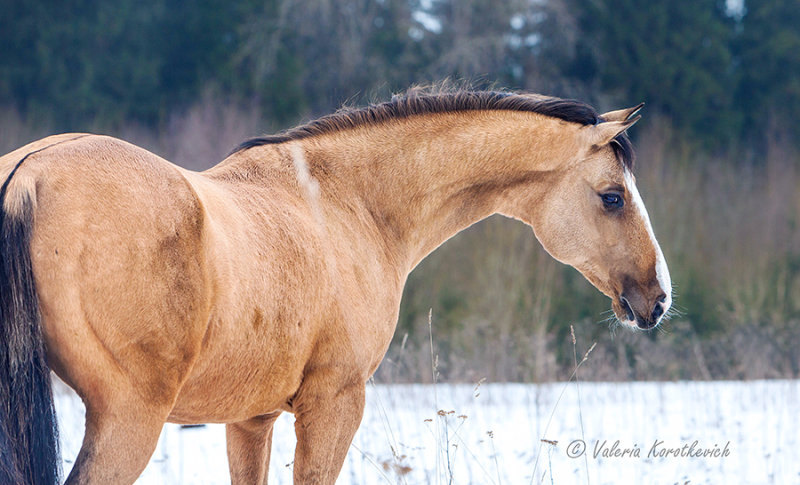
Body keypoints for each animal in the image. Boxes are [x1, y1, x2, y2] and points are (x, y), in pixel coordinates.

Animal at [0, 88, 672, 484]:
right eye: (612, 197)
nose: (657, 297)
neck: (350, 202)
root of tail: (27, 176)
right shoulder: (335, 404)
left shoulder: (252, 420)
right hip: (128, 420)